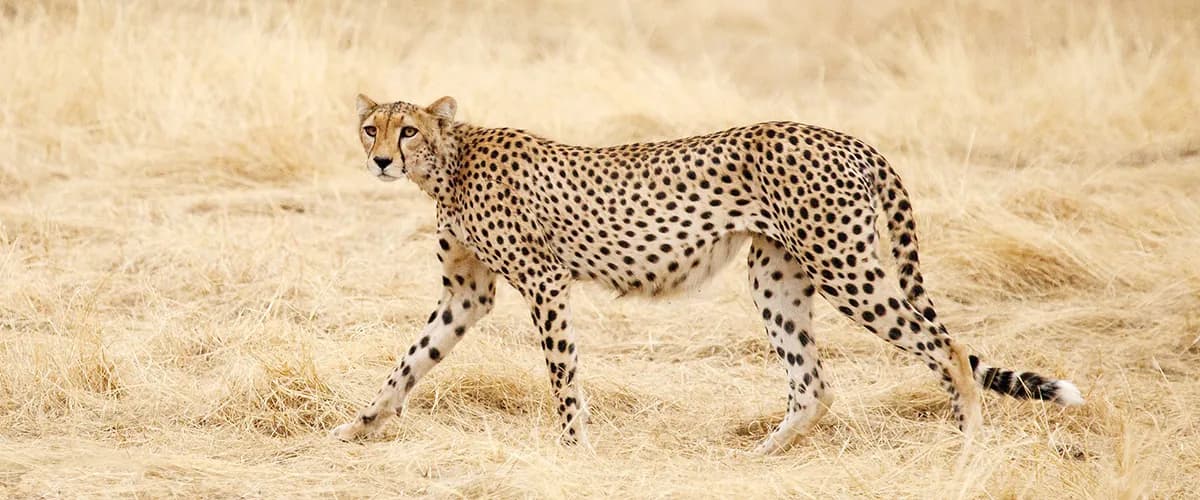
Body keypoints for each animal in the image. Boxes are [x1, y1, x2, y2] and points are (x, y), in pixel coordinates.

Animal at [331, 94, 1083, 454]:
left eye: (408, 130)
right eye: (371, 127)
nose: (380, 161)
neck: (449, 164)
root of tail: (845, 137)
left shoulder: (544, 282)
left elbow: (562, 374)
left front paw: (573, 447)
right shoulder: (467, 293)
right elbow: (411, 359)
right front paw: (362, 424)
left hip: (845, 267)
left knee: (948, 346)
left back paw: (969, 444)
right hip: (777, 277)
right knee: (815, 385)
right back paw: (760, 459)